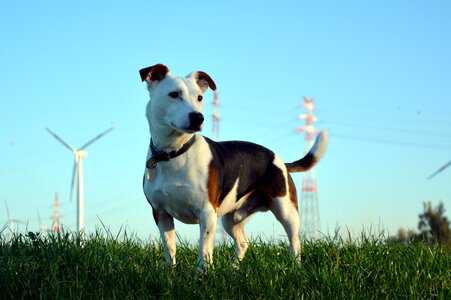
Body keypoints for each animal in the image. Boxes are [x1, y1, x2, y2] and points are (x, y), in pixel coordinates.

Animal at [139, 63, 328, 270]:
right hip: (230, 219)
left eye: (200, 97)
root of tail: (280, 160)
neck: (174, 152)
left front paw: (202, 273)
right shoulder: (160, 213)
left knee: (295, 242)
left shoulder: (207, 213)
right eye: (174, 94)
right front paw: (170, 272)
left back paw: (297, 268)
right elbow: (169, 248)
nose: (198, 117)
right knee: (243, 242)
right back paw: (234, 269)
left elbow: (204, 249)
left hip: (286, 210)